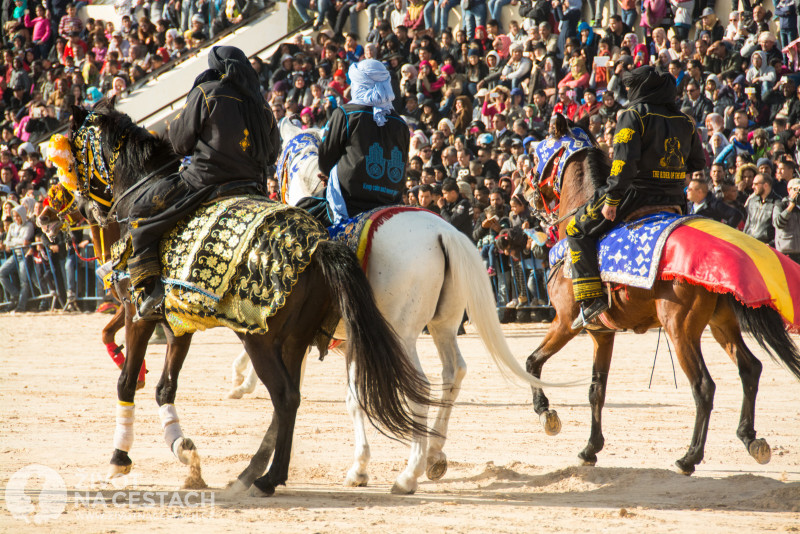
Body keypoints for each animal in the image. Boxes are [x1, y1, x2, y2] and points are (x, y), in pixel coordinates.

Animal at [62, 101, 438, 498]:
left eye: (74, 154)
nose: (86, 209)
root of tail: (318, 244)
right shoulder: (179, 325)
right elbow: (166, 388)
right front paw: (184, 451)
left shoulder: (139, 315)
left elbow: (127, 381)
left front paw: (120, 458)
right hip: (294, 340)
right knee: (291, 399)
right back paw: (266, 472)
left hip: (263, 339)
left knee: (286, 397)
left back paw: (268, 477)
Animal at [520, 115, 800, 476]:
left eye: (535, 155)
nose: (522, 193)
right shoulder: (601, 334)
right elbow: (596, 390)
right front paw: (590, 449)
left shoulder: (566, 321)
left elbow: (532, 362)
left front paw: (546, 413)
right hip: (720, 323)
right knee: (749, 369)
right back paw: (750, 439)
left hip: (680, 329)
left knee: (704, 386)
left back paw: (689, 457)